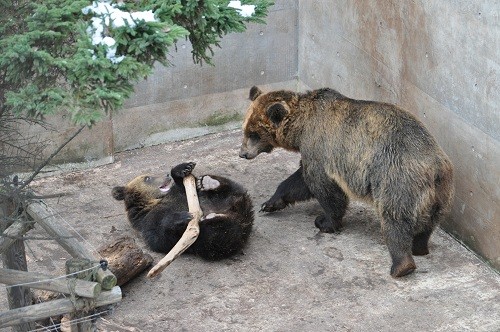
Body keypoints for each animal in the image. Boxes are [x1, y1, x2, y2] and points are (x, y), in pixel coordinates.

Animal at [240, 86, 456, 278]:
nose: (242, 153)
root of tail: (435, 167)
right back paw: (420, 247)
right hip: (439, 195)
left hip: (397, 179)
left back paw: (401, 266)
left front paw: (324, 222)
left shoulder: (320, 149)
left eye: (254, 133)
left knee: (395, 220)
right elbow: (298, 181)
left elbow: (323, 187)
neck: (301, 126)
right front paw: (269, 203)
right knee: (428, 224)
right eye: (245, 129)